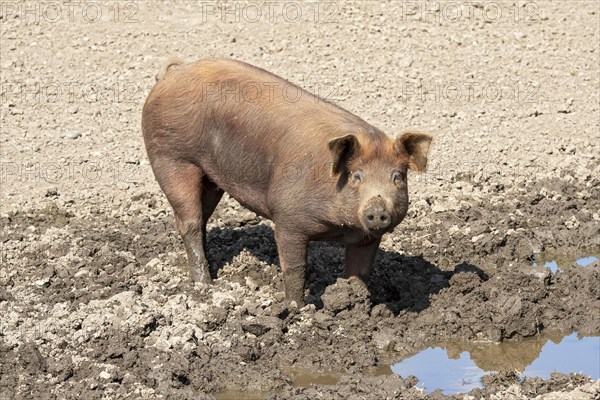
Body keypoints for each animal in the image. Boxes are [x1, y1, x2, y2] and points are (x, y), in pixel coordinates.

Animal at [141, 57, 432, 306]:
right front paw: (297, 309)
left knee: (201, 219)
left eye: (397, 177)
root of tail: (172, 73)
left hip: (210, 179)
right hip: (171, 158)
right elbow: (294, 268)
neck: (340, 228)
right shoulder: (288, 219)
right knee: (188, 221)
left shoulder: (367, 237)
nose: (378, 209)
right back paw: (205, 285)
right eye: (356, 176)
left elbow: (359, 271)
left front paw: (359, 306)